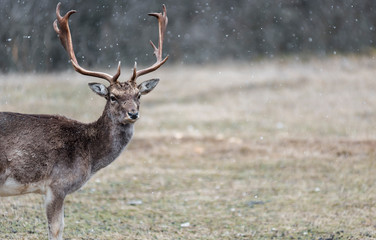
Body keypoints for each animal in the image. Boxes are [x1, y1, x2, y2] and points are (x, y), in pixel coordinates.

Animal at [0, 2, 167, 240]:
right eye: (112, 97)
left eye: (138, 95)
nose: (133, 114)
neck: (88, 154)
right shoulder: (57, 184)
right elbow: (56, 228)